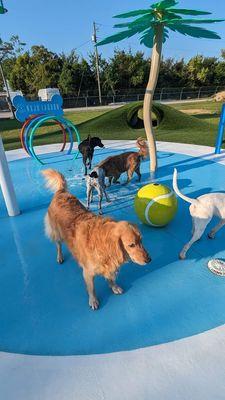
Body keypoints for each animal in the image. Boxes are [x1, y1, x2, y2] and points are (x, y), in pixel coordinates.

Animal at [42, 168, 151, 310]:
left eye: (141, 240)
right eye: (131, 245)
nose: (149, 260)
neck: (102, 242)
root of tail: (61, 192)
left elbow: (110, 278)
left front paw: (114, 287)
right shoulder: (87, 272)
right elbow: (92, 288)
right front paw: (93, 301)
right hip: (57, 233)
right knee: (58, 245)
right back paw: (60, 257)